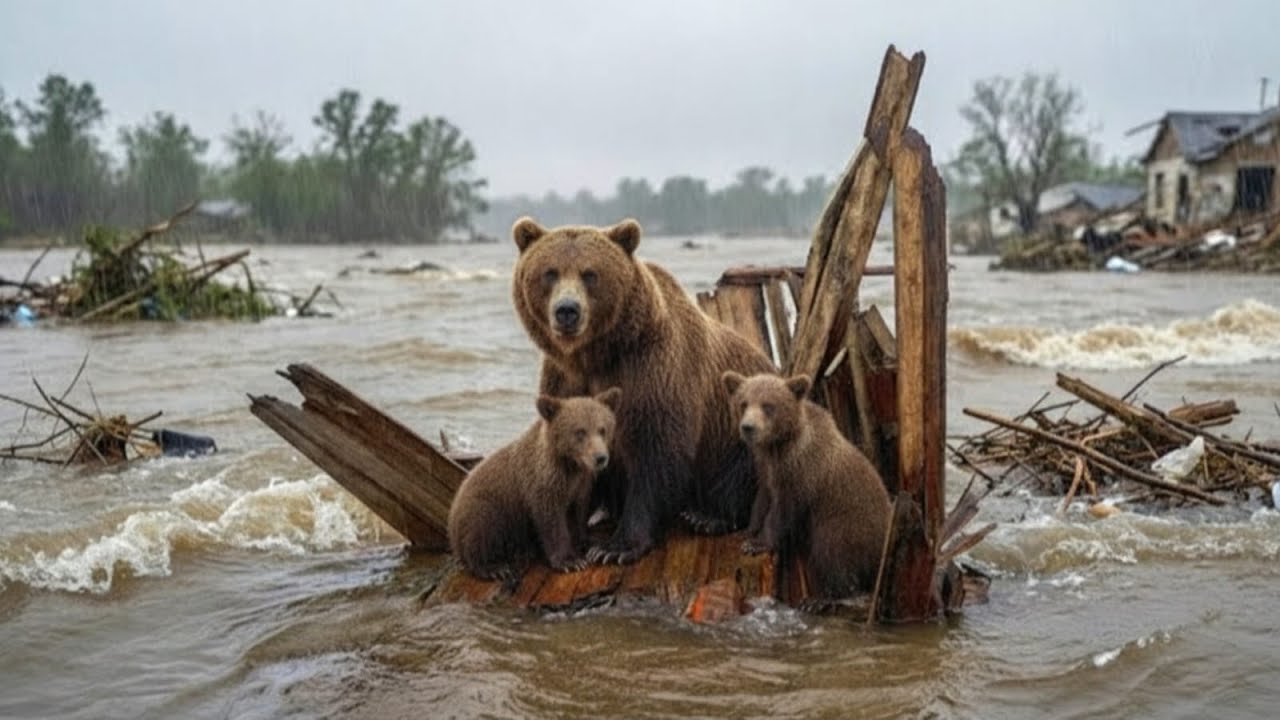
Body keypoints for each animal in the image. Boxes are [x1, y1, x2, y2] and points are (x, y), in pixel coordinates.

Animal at [447, 388, 621, 582]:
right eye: (580, 432)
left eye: (602, 429)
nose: (600, 458)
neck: (570, 465)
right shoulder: (542, 484)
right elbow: (551, 520)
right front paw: (569, 561)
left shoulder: (580, 485)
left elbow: (579, 511)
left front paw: (586, 542)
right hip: (484, 507)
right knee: (480, 532)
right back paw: (493, 567)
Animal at [510, 217, 776, 564]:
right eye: (550, 272)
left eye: (590, 273)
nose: (567, 310)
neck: (596, 355)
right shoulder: (566, 380)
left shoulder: (652, 370)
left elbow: (656, 451)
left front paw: (615, 548)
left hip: (740, 433)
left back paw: (707, 516)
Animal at [722, 371, 891, 605]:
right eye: (743, 403)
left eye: (768, 405)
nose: (748, 427)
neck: (778, 447)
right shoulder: (766, 469)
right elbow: (762, 499)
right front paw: (748, 531)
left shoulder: (802, 475)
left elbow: (784, 511)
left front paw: (757, 543)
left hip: (849, 527)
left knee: (833, 554)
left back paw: (819, 600)